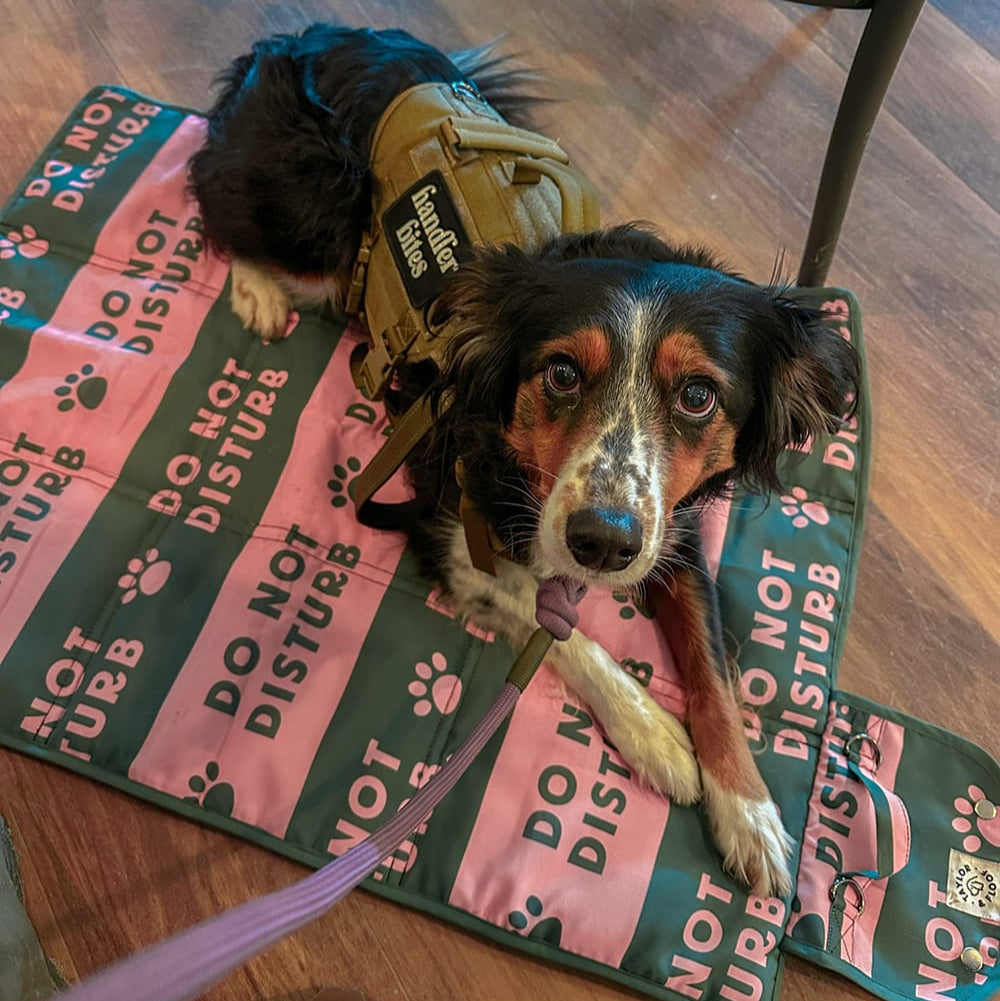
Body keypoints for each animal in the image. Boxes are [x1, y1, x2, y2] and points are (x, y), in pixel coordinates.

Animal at [189, 25, 860, 900]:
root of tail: (317, 33)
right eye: (562, 373)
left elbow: (714, 671)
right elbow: (564, 631)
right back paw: (258, 292)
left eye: (698, 396)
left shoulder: (668, 524)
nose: (602, 543)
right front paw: (657, 734)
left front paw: (750, 809)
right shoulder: (450, 525)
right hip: (315, 199)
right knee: (219, 204)